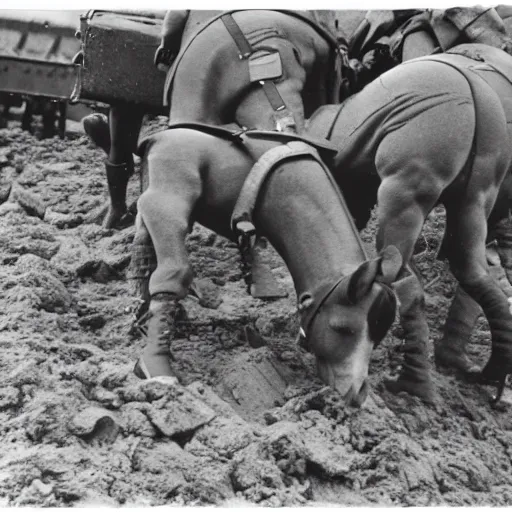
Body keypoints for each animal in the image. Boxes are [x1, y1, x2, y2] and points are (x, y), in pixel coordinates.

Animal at [131, 125, 400, 408]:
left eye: (378, 337)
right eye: (342, 329)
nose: (357, 393)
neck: (290, 182)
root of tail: (158, 136)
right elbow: (173, 274)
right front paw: (156, 365)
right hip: (166, 194)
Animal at [306, 44, 512, 404]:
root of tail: (475, 93)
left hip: (406, 187)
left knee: (403, 277)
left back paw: (413, 383)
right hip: (479, 190)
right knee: (474, 268)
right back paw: (474, 370)